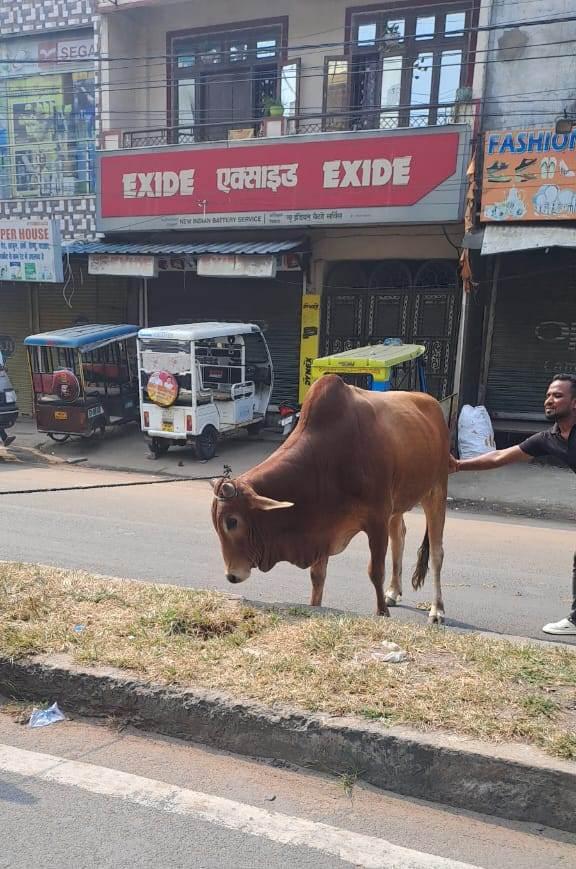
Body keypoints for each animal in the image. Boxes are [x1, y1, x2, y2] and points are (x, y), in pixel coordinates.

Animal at [212, 376, 450, 620]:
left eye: (232, 522)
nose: (231, 575)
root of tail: (432, 402)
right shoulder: (322, 525)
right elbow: (317, 577)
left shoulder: (377, 520)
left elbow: (375, 571)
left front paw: (382, 613)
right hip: (399, 504)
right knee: (399, 538)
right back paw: (393, 592)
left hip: (436, 489)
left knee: (437, 553)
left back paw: (437, 608)